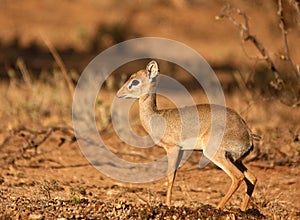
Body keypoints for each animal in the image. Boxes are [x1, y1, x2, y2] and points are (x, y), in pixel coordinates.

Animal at [116, 60, 258, 211]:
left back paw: (218, 208)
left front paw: (168, 206)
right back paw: (242, 210)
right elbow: (174, 176)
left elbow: (170, 177)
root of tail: (248, 133)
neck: (157, 117)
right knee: (252, 178)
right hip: (236, 159)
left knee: (238, 177)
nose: (118, 94)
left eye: (135, 81)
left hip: (215, 154)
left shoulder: (172, 148)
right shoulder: (182, 150)